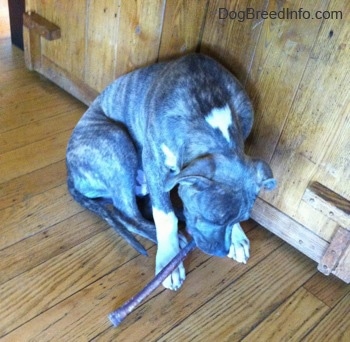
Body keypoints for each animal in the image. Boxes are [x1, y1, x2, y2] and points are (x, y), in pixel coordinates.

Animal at [66, 54, 276, 290]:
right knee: (126, 213)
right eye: (210, 218)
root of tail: (70, 172)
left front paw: (237, 236)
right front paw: (169, 261)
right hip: (115, 140)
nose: (221, 251)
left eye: (242, 218)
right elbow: (164, 217)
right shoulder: (153, 164)